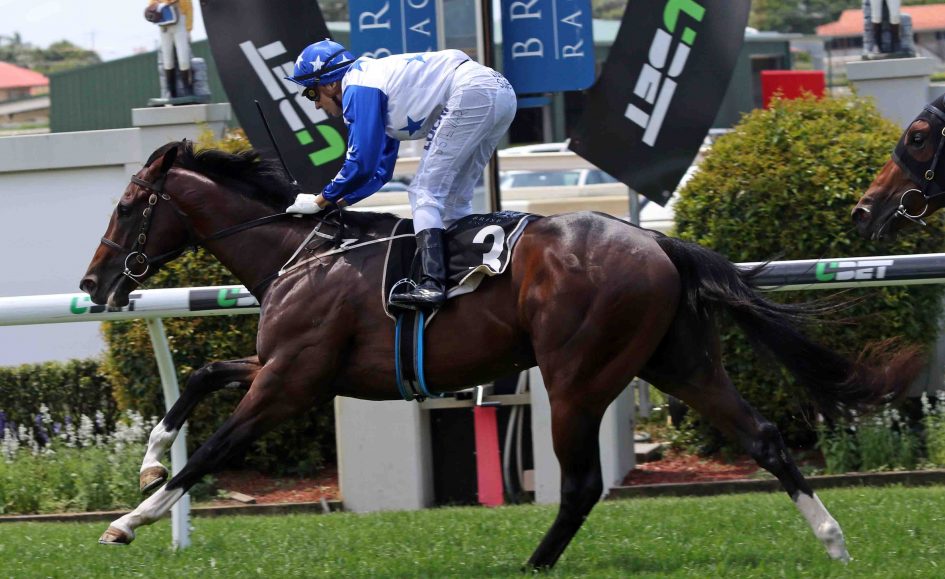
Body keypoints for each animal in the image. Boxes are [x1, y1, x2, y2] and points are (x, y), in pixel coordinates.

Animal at [81, 140, 922, 569]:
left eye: (126, 207)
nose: (92, 283)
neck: (306, 253)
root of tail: (655, 240)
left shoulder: (291, 380)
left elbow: (213, 448)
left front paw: (130, 519)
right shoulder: (294, 370)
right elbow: (198, 376)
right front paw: (148, 460)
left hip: (578, 374)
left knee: (581, 482)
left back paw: (532, 566)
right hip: (678, 361)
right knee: (765, 438)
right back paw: (833, 539)